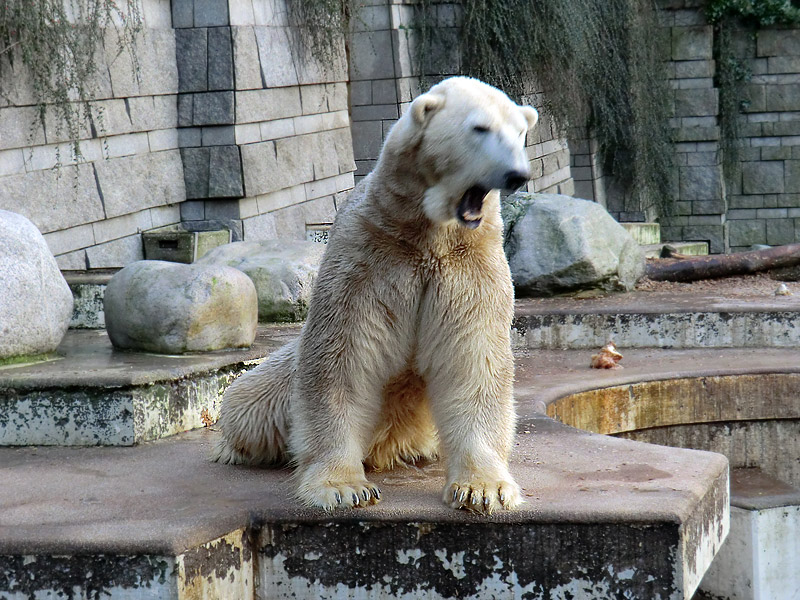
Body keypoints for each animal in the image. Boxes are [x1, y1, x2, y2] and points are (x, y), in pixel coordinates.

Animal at [211, 76, 536, 516]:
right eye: (480, 128)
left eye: (520, 133)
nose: (517, 174)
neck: (426, 235)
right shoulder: (367, 258)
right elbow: (343, 359)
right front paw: (344, 488)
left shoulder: (470, 268)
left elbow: (473, 359)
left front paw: (484, 489)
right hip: (274, 383)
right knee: (247, 401)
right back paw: (233, 447)